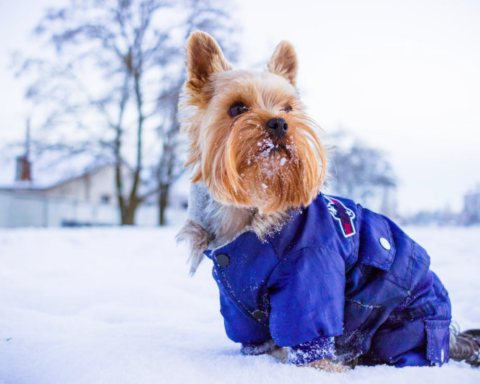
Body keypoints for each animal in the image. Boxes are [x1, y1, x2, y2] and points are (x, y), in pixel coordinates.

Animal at [177, 30, 480, 368]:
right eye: (237, 108)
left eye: (288, 108)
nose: (279, 123)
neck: (253, 211)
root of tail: (451, 337)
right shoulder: (236, 301)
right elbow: (256, 341)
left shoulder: (310, 271)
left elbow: (311, 336)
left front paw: (315, 369)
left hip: (407, 326)